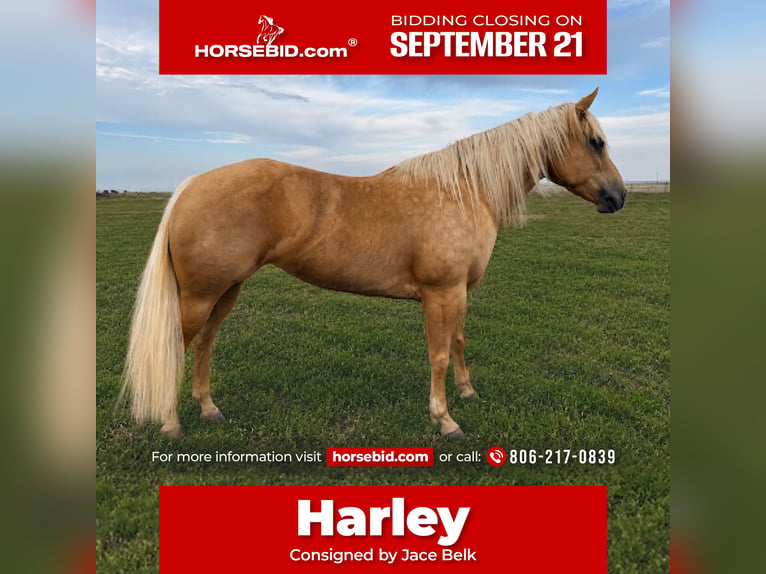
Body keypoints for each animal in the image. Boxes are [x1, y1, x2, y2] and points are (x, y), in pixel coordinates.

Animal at [121, 88, 626, 440]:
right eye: (595, 142)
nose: (619, 197)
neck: (464, 191)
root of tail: (190, 185)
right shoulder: (440, 293)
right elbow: (438, 354)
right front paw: (445, 420)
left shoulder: (460, 292)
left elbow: (459, 342)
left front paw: (468, 392)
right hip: (201, 295)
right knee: (177, 346)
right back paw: (171, 424)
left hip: (225, 291)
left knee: (205, 345)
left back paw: (209, 410)